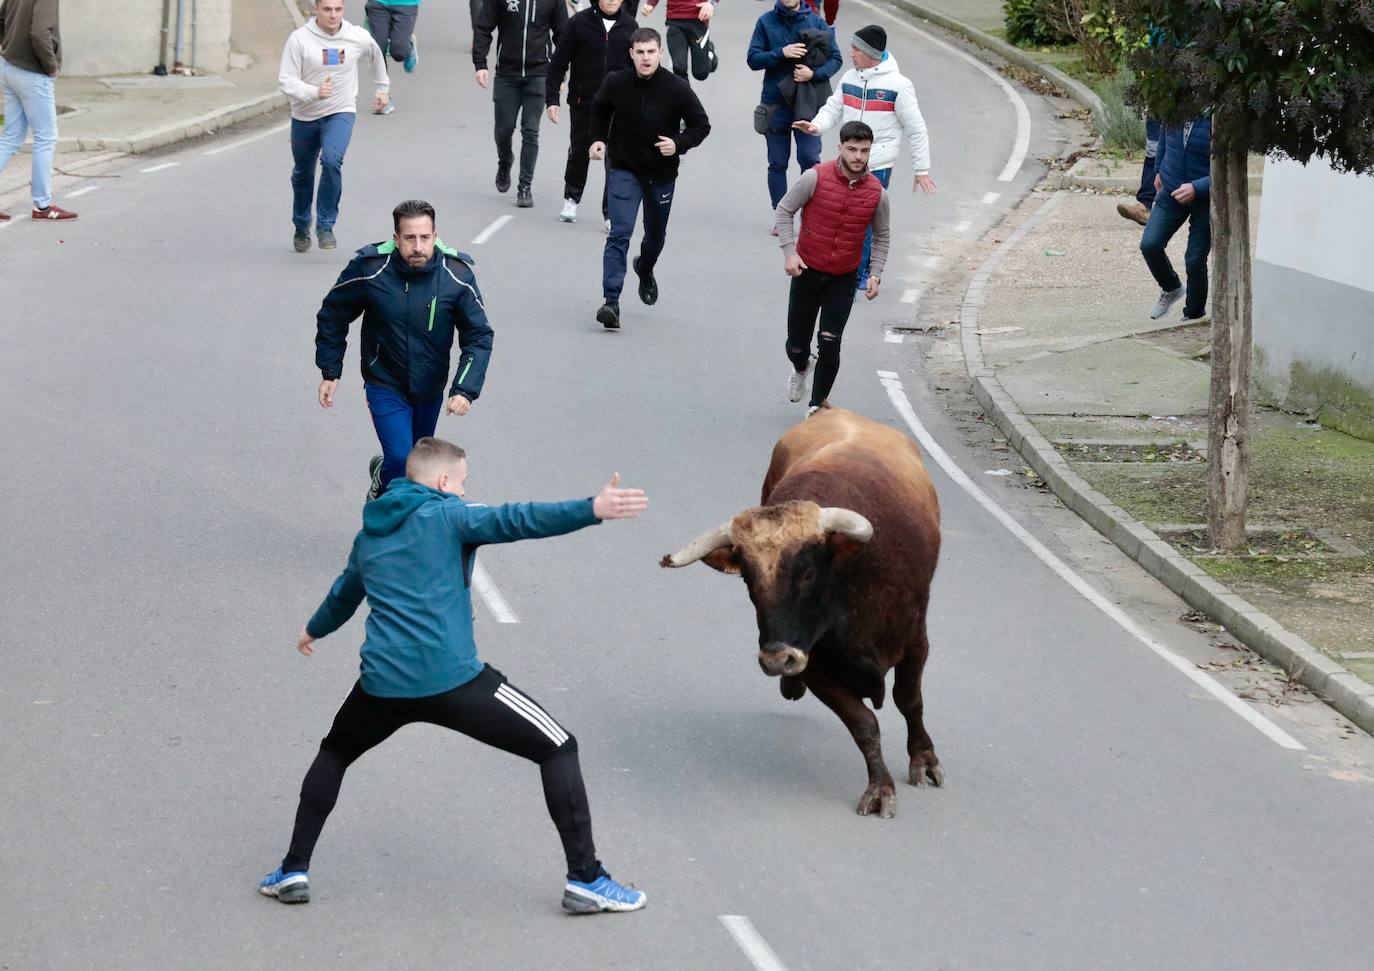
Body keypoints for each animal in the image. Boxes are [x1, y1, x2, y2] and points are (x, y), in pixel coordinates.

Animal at [656, 406, 939, 818]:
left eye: (807, 573)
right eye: (748, 579)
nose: (776, 660)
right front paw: (880, 787)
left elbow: (909, 700)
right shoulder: (813, 661)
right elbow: (863, 723)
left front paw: (924, 759)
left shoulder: (915, 640)